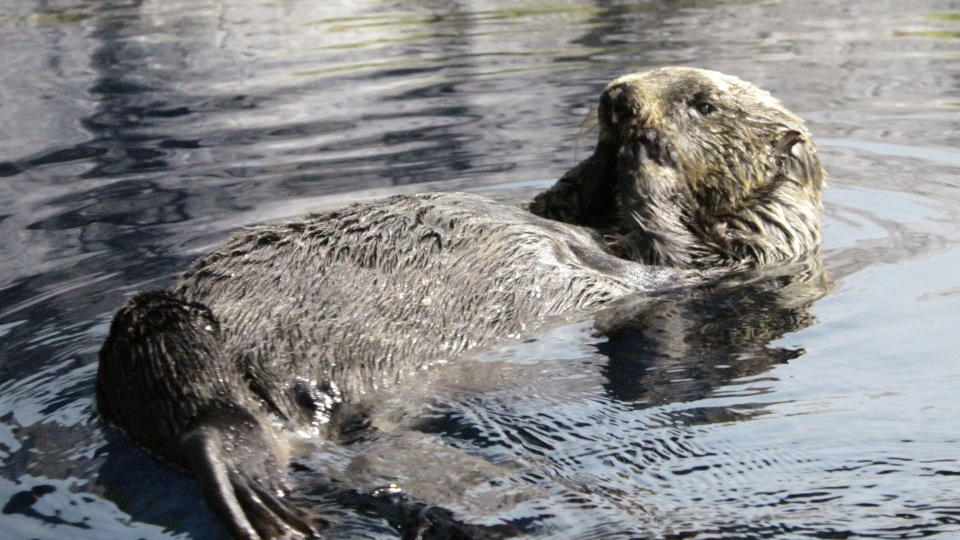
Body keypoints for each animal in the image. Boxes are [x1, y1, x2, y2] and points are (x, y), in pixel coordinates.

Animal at [97, 67, 825, 540]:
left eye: (703, 104)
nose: (618, 97)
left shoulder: (733, 258)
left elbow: (667, 240)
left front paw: (649, 154)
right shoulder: (571, 212)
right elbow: (559, 200)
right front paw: (605, 149)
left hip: (171, 342)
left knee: (215, 426)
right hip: (163, 324)